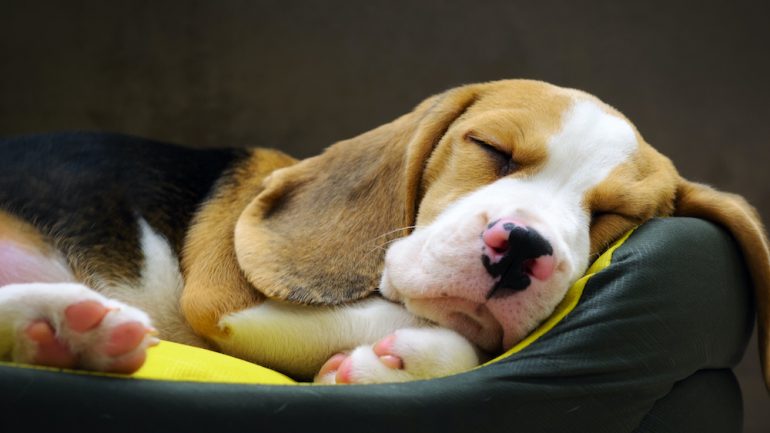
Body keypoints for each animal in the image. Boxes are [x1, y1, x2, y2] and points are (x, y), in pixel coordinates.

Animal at [1, 79, 768, 384]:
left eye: (615, 217)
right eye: (491, 148)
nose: (521, 247)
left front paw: (387, 364)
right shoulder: (224, 304)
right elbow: (439, 330)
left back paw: (62, 331)